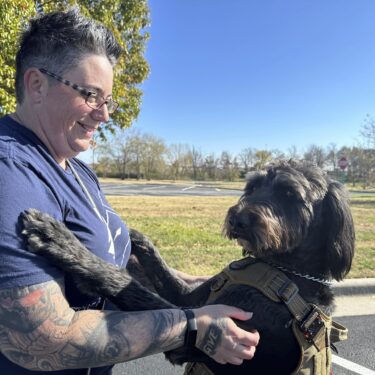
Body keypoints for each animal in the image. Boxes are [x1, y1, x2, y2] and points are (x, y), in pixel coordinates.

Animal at [22, 160, 356, 374]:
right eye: (251, 186)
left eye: (290, 195)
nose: (237, 218)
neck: (282, 269)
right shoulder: (191, 296)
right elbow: (156, 268)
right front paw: (132, 235)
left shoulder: (197, 341)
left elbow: (131, 288)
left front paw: (62, 242)